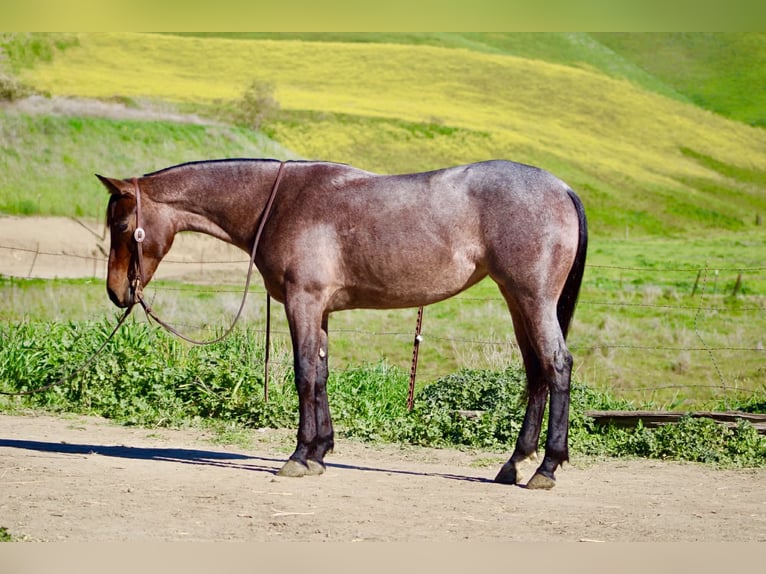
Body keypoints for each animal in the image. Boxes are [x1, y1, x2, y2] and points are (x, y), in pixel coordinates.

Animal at [98, 158, 587, 489]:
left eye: (121, 225)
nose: (117, 292)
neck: (279, 203)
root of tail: (562, 187)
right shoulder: (322, 311)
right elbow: (321, 375)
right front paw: (320, 452)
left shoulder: (304, 302)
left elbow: (303, 375)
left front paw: (298, 456)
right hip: (517, 301)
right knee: (536, 372)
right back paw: (514, 464)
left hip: (532, 299)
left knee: (556, 365)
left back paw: (546, 467)